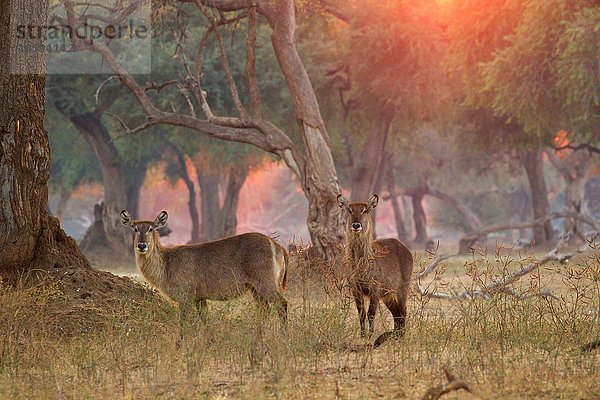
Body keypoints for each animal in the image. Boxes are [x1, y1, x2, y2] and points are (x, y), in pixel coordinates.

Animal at [120, 209, 288, 344]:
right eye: (135, 228)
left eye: (150, 228)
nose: (142, 245)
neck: (166, 264)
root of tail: (278, 246)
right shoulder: (199, 297)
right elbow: (205, 319)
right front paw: (211, 342)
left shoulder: (186, 296)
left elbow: (183, 322)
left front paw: (179, 345)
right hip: (255, 288)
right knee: (264, 310)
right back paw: (258, 338)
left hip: (265, 282)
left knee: (282, 304)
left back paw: (283, 337)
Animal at [336, 195, 414, 346]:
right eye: (350, 210)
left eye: (365, 210)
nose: (356, 225)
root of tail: (404, 247)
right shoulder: (355, 287)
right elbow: (361, 313)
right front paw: (363, 335)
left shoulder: (374, 288)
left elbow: (371, 313)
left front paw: (370, 335)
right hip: (388, 295)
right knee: (396, 313)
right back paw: (392, 336)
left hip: (402, 287)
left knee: (403, 311)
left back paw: (399, 337)